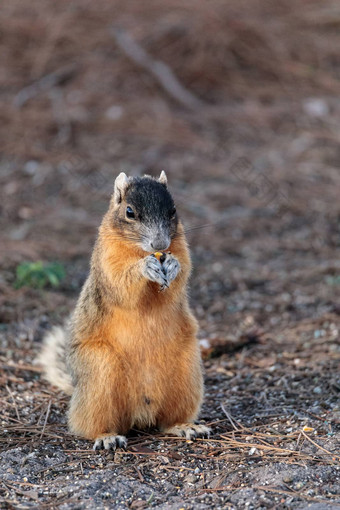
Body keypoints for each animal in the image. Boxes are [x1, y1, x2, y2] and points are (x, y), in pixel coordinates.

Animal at [38, 172, 211, 450]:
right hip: (99, 374)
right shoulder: (108, 258)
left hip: (188, 374)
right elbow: (122, 284)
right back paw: (106, 437)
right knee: (88, 423)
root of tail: (141, 413)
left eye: (173, 210)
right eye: (129, 212)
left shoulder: (180, 245)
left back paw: (185, 427)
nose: (160, 243)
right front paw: (144, 268)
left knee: (166, 421)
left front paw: (173, 265)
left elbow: (181, 274)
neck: (141, 250)